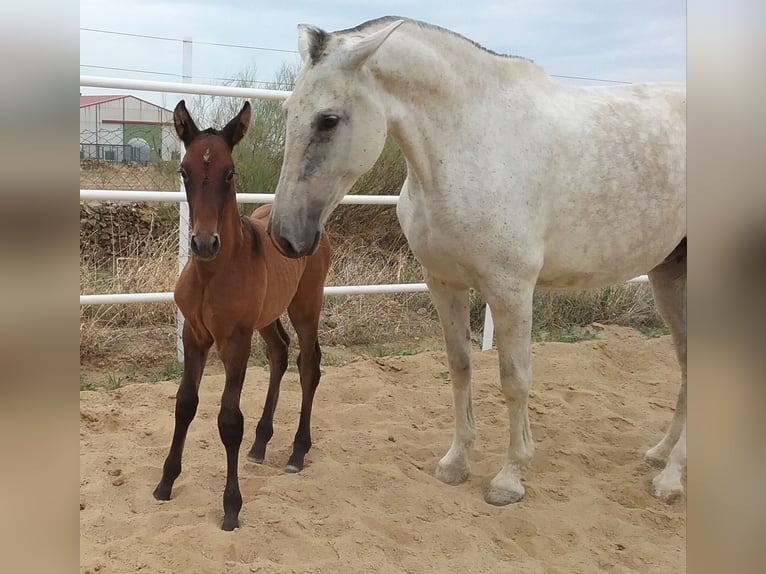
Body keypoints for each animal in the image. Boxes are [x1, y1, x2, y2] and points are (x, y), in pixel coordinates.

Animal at [155, 100, 332, 536]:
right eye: (183, 170)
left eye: (230, 172)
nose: (203, 243)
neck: (212, 274)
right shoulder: (195, 336)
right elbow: (185, 404)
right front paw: (165, 483)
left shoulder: (235, 341)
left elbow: (229, 420)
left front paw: (231, 507)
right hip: (267, 317)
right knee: (280, 353)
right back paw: (260, 443)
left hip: (306, 306)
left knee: (309, 364)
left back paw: (297, 452)